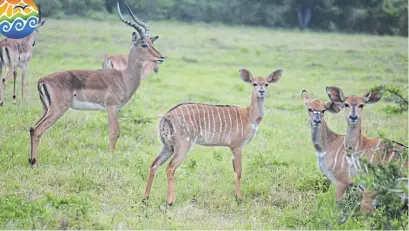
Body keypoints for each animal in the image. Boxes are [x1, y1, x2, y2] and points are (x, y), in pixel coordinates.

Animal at [28, 1, 166, 168]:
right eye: (144, 44)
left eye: (152, 42)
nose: (161, 57)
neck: (123, 77)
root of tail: (42, 80)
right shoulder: (111, 107)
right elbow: (114, 132)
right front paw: (111, 159)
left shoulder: (115, 109)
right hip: (57, 109)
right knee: (38, 130)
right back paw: (35, 164)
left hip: (46, 109)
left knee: (32, 128)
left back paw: (31, 160)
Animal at [144, 67, 284, 204]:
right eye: (254, 83)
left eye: (266, 84)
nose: (261, 91)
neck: (249, 116)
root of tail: (165, 117)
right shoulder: (236, 146)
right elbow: (239, 172)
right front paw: (239, 199)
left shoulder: (232, 148)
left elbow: (234, 170)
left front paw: (236, 197)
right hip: (183, 145)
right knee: (170, 167)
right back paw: (170, 201)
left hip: (167, 146)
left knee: (154, 164)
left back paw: (145, 198)